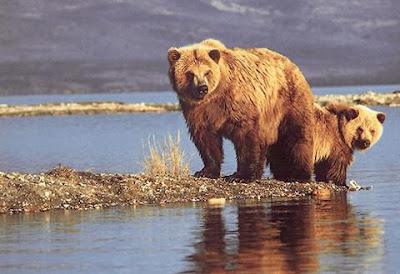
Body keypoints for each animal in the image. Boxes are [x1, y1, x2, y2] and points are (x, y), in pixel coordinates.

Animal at [167, 38, 314, 180]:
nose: (203, 88)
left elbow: (246, 136)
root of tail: (293, 65)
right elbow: (206, 138)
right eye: (190, 73)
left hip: (288, 102)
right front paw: (205, 171)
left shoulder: (237, 101)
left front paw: (241, 175)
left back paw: (298, 174)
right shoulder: (196, 110)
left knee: (296, 136)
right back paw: (281, 173)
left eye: (207, 72)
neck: (214, 96)